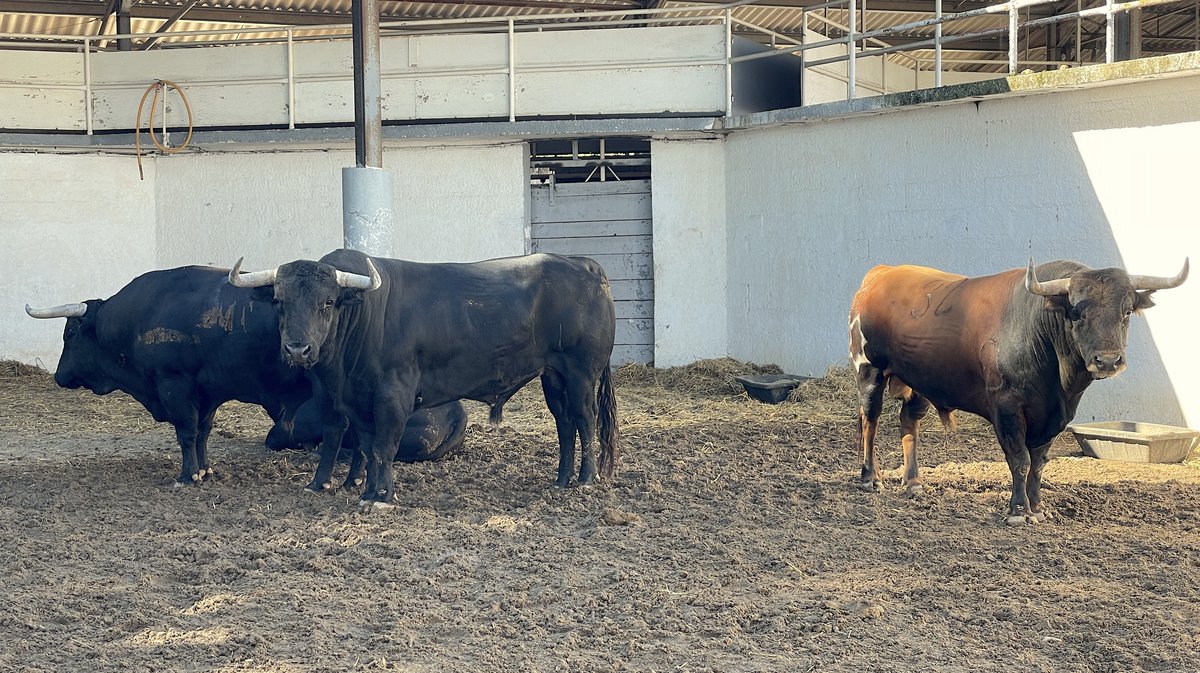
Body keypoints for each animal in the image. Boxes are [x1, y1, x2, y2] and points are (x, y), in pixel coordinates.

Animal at [226, 249, 619, 506]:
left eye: (327, 302)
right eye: (279, 301)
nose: (297, 350)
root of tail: (584, 264)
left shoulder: (393, 396)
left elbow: (384, 446)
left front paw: (383, 497)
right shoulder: (357, 402)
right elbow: (367, 446)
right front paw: (367, 491)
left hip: (581, 373)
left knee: (585, 419)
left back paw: (586, 479)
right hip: (553, 376)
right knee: (565, 423)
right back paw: (562, 480)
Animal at [849, 256, 1185, 525]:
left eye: (1126, 312)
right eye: (1076, 313)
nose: (1108, 360)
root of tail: (881, 273)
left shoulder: (1055, 415)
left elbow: (1038, 463)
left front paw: (1037, 508)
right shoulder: (1007, 408)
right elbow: (1020, 459)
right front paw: (1018, 511)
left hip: (919, 382)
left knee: (909, 423)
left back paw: (913, 482)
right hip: (869, 370)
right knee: (870, 421)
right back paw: (870, 478)